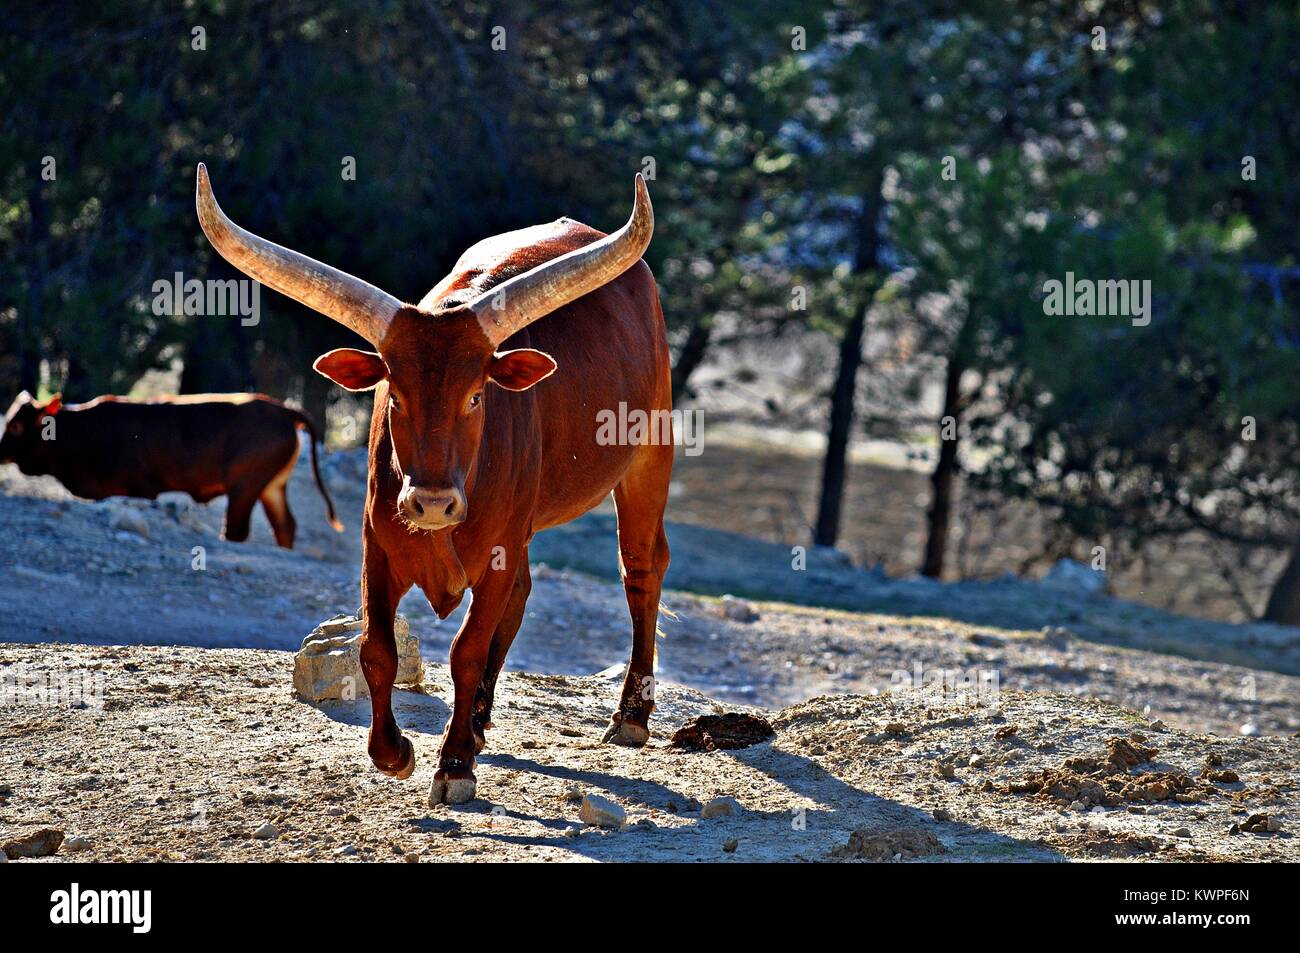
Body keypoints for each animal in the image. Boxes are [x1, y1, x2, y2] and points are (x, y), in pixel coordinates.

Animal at [0, 387, 340, 551]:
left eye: (16, 426)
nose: (0, 452)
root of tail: (284, 410)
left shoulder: (132, 488)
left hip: (245, 486)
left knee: (236, 530)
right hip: (271, 488)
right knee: (285, 525)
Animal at [200, 163, 681, 800]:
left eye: (476, 396)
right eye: (395, 395)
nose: (431, 504)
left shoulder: (498, 548)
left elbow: (467, 651)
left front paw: (453, 766)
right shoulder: (378, 547)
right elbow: (376, 650)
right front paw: (394, 751)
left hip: (649, 456)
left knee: (641, 569)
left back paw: (629, 715)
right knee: (525, 592)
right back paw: (477, 722)